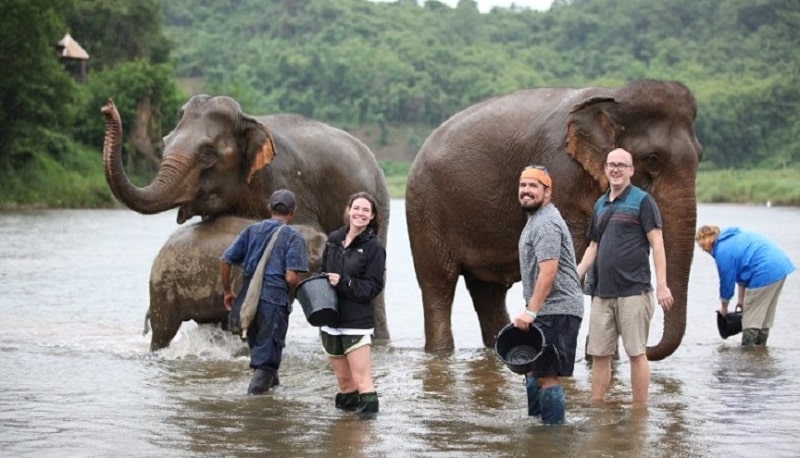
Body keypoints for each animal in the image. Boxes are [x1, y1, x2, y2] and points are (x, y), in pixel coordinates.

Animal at [101, 95, 392, 340]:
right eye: (164, 141)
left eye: (208, 153)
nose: (107, 107)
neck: (248, 120)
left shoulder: (288, 183)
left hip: (380, 202)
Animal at [410, 78, 704, 360]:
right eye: (653, 160)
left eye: (700, 156)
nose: (649, 348)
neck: (615, 96)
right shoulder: (561, 172)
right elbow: (577, 258)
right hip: (425, 207)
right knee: (438, 284)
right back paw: (441, 352)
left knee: (488, 292)